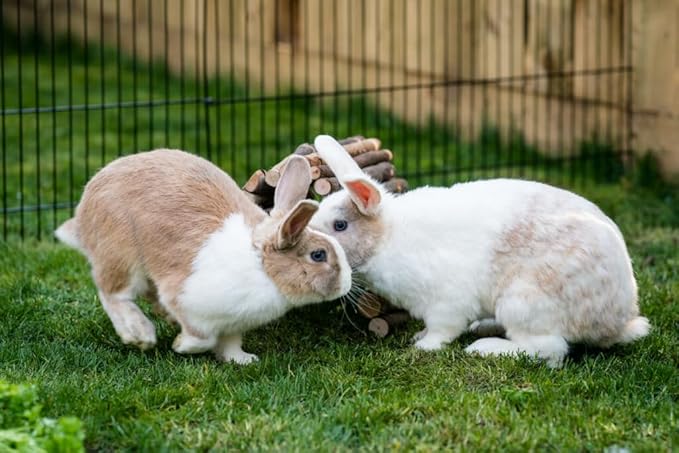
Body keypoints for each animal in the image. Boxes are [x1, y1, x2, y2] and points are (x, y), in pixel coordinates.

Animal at [55, 149, 351, 364]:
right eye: (318, 255)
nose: (347, 284)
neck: (261, 266)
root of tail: (84, 209)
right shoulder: (185, 299)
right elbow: (202, 339)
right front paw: (181, 346)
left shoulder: (233, 325)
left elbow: (230, 343)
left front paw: (242, 360)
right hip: (121, 255)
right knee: (112, 294)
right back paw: (140, 334)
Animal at [309, 134, 649, 367]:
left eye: (340, 225)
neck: (388, 236)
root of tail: (619, 320)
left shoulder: (446, 302)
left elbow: (442, 329)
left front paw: (422, 345)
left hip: (523, 302)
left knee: (548, 350)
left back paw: (486, 348)